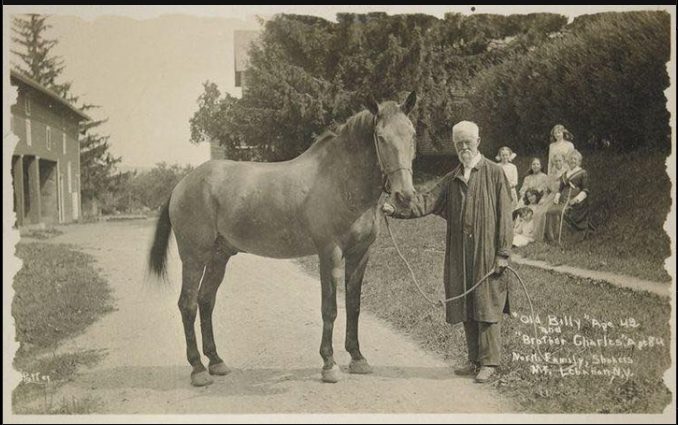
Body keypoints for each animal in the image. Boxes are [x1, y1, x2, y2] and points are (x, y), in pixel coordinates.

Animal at [149, 91, 420, 386]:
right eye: (380, 137)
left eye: (413, 134)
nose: (404, 196)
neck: (340, 180)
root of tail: (181, 184)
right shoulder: (330, 253)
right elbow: (330, 308)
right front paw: (329, 364)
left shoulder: (360, 254)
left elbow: (354, 305)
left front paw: (358, 358)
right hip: (194, 257)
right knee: (187, 305)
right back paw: (198, 369)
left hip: (218, 257)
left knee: (206, 301)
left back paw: (216, 362)